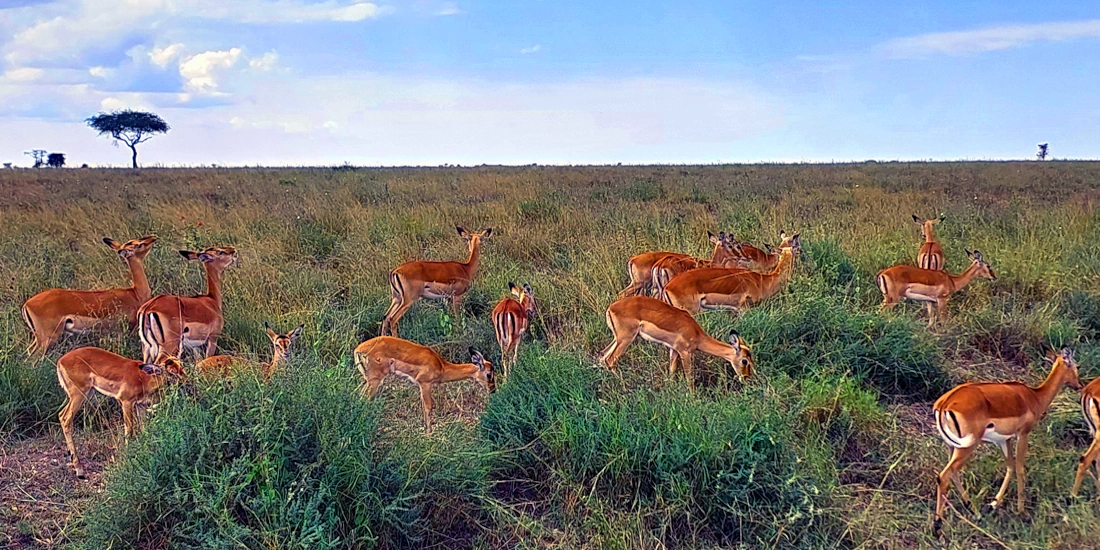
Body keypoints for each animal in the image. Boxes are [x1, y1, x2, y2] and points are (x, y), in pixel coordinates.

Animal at [56, 346, 185, 478]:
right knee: (65, 419)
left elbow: (144, 429)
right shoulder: (126, 402)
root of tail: (60, 361)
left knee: (61, 415)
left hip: (87, 393)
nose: (186, 381)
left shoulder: (141, 406)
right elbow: (130, 430)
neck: (144, 378)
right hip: (79, 394)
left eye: (182, 367)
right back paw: (79, 470)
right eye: (172, 371)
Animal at [353, 336, 495, 432]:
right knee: (365, 399)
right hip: (375, 380)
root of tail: (359, 349)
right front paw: (429, 433)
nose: (493, 390)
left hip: (369, 380)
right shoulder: (425, 383)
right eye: (489, 374)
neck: (441, 366)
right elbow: (428, 407)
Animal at [598, 296, 753, 389]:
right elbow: (689, 378)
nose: (746, 378)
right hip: (626, 339)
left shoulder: (673, 350)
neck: (697, 334)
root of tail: (611, 308)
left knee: (603, 356)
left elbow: (672, 372)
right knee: (610, 360)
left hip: (617, 339)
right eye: (744, 361)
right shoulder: (685, 353)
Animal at [932, 348, 1082, 535]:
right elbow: (1019, 468)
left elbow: (1010, 467)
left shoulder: (1004, 440)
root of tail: (944, 404)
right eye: (1076, 366)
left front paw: (992, 505)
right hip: (967, 446)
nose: (1079, 385)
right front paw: (1022, 512)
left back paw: (975, 511)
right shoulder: (1023, 434)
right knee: (944, 475)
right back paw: (937, 526)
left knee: (953, 473)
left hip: (952, 446)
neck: (1034, 396)